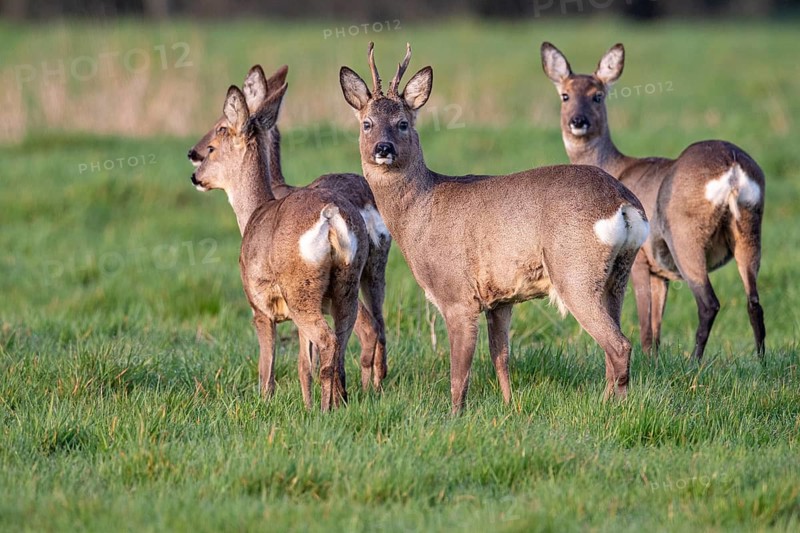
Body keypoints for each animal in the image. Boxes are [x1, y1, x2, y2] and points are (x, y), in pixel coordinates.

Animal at [190, 66, 391, 392]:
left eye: (218, 134)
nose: (193, 160)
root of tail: (333, 215)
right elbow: (304, 362)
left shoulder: (260, 307)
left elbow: (269, 367)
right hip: (367, 271)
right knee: (372, 327)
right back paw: (368, 389)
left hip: (310, 290)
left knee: (353, 333)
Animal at [340, 42, 649, 413]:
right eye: (367, 123)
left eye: (402, 123)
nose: (382, 149)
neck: (420, 211)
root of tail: (623, 202)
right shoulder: (500, 299)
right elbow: (500, 357)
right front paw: (509, 405)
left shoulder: (457, 295)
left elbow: (459, 372)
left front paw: (455, 415)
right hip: (617, 277)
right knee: (613, 346)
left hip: (575, 272)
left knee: (618, 345)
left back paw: (605, 407)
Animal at [541, 42, 766, 361]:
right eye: (565, 95)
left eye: (598, 95)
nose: (578, 121)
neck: (615, 166)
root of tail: (732, 167)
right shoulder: (660, 274)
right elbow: (657, 327)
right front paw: (655, 361)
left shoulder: (640, 260)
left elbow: (647, 325)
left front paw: (648, 361)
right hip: (750, 227)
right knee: (754, 301)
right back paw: (760, 360)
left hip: (685, 234)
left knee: (708, 302)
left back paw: (694, 362)